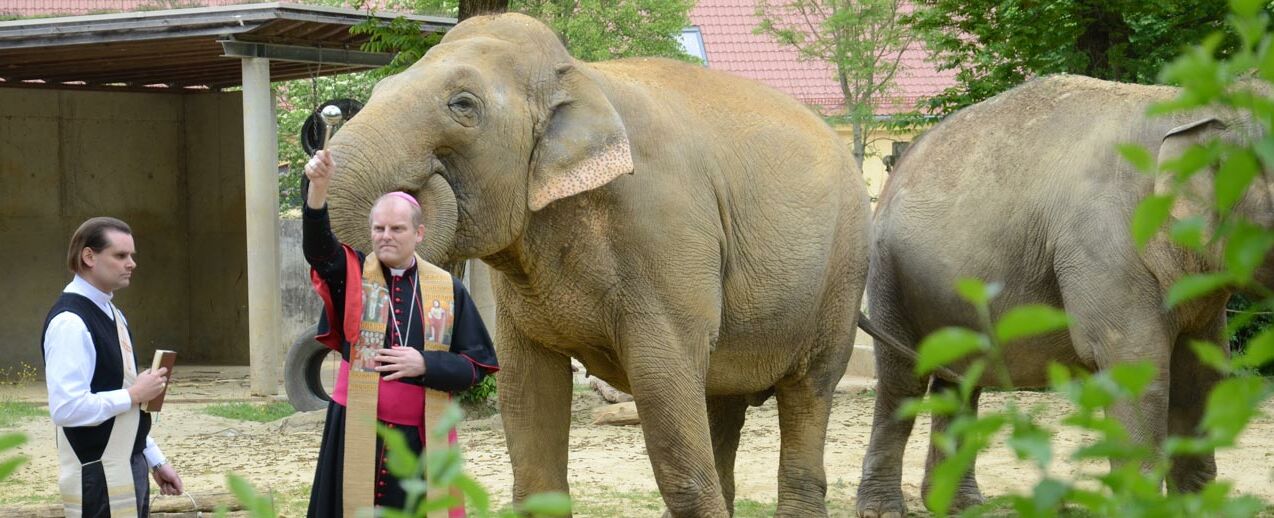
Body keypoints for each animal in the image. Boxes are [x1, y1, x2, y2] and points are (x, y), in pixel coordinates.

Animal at [323, 13, 871, 518]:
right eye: (381, 89)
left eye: (463, 105)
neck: (581, 76)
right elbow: (527, 394)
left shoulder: (666, 237)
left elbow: (667, 395)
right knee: (722, 401)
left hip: (841, 276)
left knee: (807, 392)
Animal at [856, 74, 1274, 518]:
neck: (1188, 106)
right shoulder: (1102, 248)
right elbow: (1135, 367)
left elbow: (1202, 375)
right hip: (888, 273)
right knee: (903, 382)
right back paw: (883, 508)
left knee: (960, 379)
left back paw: (960, 505)